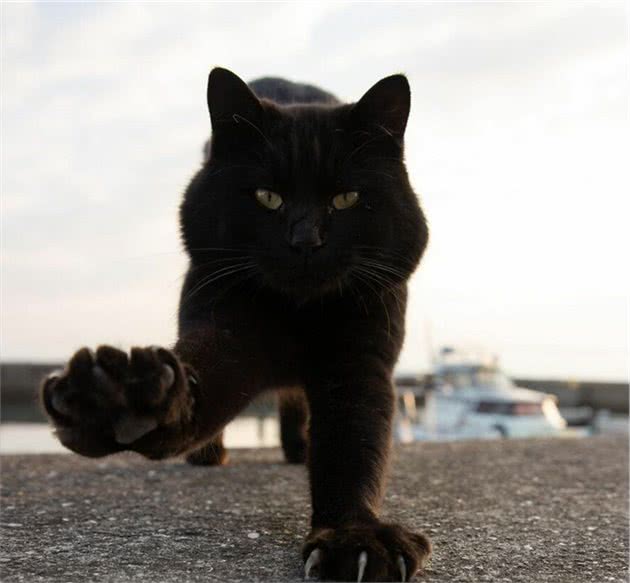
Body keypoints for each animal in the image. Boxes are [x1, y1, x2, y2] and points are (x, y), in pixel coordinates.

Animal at [40, 67, 434, 580]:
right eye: (268, 197)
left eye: (346, 198)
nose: (305, 240)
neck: (297, 311)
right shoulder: (226, 330)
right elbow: (196, 381)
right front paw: (116, 398)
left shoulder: (360, 359)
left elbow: (353, 447)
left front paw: (354, 537)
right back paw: (206, 452)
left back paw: (297, 449)